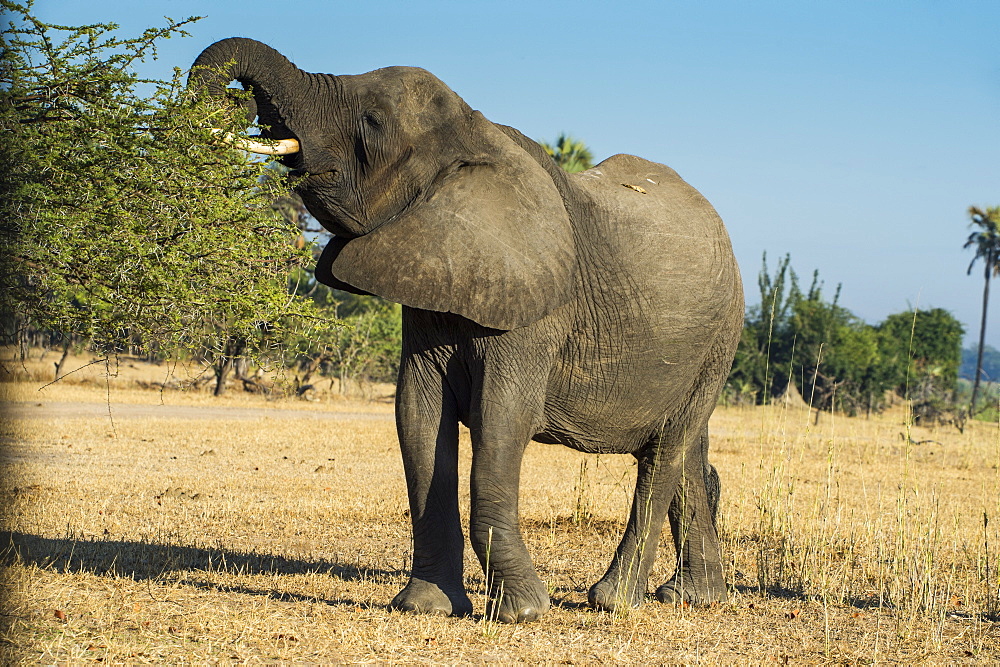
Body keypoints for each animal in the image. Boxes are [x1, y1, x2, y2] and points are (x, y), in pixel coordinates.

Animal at [191, 39, 748, 624]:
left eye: (372, 122)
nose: (234, 103)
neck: (474, 135)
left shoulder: (534, 311)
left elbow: (501, 419)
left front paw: (522, 611)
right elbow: (417, 415)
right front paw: (425, 607)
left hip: (721, 337)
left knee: (665, 452)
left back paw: (614, 601)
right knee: (689, 454)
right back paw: (690, 597)